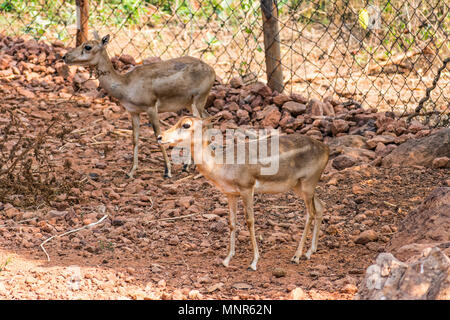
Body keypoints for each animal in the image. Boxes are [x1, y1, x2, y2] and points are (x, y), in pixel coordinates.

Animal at [62, 31, 216, 179]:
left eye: (88, 47)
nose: (65, 57)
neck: (126, 85)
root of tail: (212, 70)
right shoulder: (133, 112)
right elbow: (135, 139)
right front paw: (130, 172)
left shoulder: (151, 108)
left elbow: (158, 136)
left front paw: (167, 171)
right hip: (191, 103)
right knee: (207, 119)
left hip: (198, 101)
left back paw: (189, 166)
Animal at [158, 115, 330, 270]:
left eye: (186, 124)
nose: (160, 137)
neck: (222, 165)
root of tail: (326, 149)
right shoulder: (231, 194)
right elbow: (232, 222)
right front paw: (227, 259)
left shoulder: (247, 188)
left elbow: (250, 221)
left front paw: (253, 262)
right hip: (299, 186)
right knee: (320, 206)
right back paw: (309, 252)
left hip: (308, 184)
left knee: (311, 213)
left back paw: (296, 256)